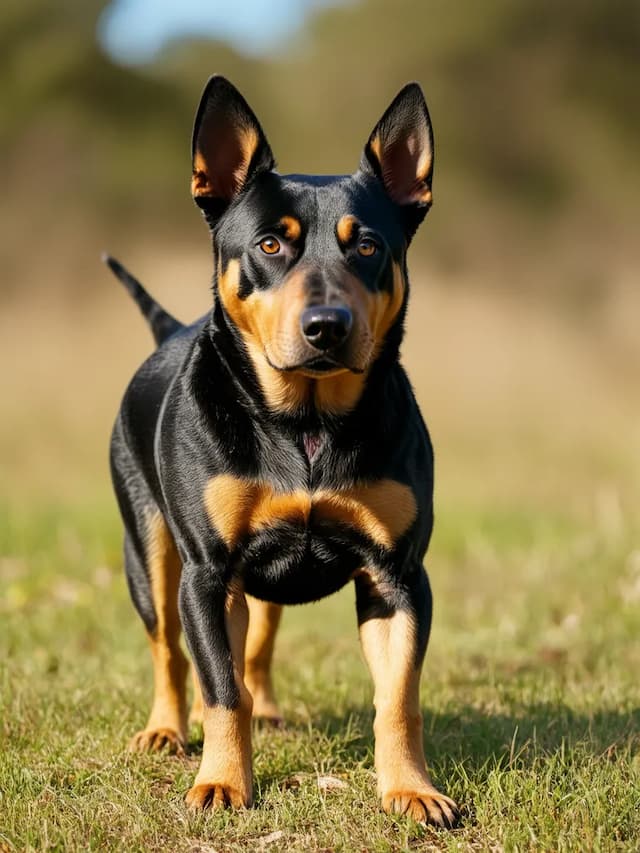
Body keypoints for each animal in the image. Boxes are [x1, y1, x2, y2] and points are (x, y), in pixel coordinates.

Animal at [109, 76, 460, 828]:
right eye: (271, 243)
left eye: (369, 247)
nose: (327, 325)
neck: (306, 422)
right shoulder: (207, 573)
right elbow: (219, 687)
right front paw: (221, 783)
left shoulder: (397, 575)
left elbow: (398, 699)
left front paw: (412, 789)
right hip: (151, 554)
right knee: (169, 649)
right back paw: (165, 729)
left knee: (260, 639)